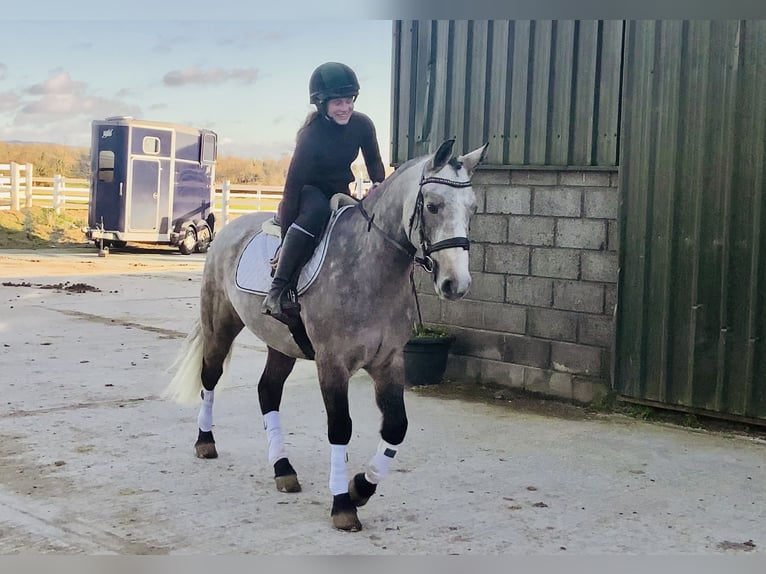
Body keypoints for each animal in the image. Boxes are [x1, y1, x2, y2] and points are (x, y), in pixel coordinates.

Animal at [164, 138, 488, 531]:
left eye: (472, 209)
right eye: (433, 206)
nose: (456, 284)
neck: (369, 267)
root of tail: (228, 230)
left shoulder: (389, 361)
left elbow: (396, 427)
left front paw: (361, 487)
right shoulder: (332, 364)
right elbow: (340, 428)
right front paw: (342, 504)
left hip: (282, 343)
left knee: (268, 391)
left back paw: (283, 469)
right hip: (220, 325)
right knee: (210, 376)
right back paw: (205, 442)